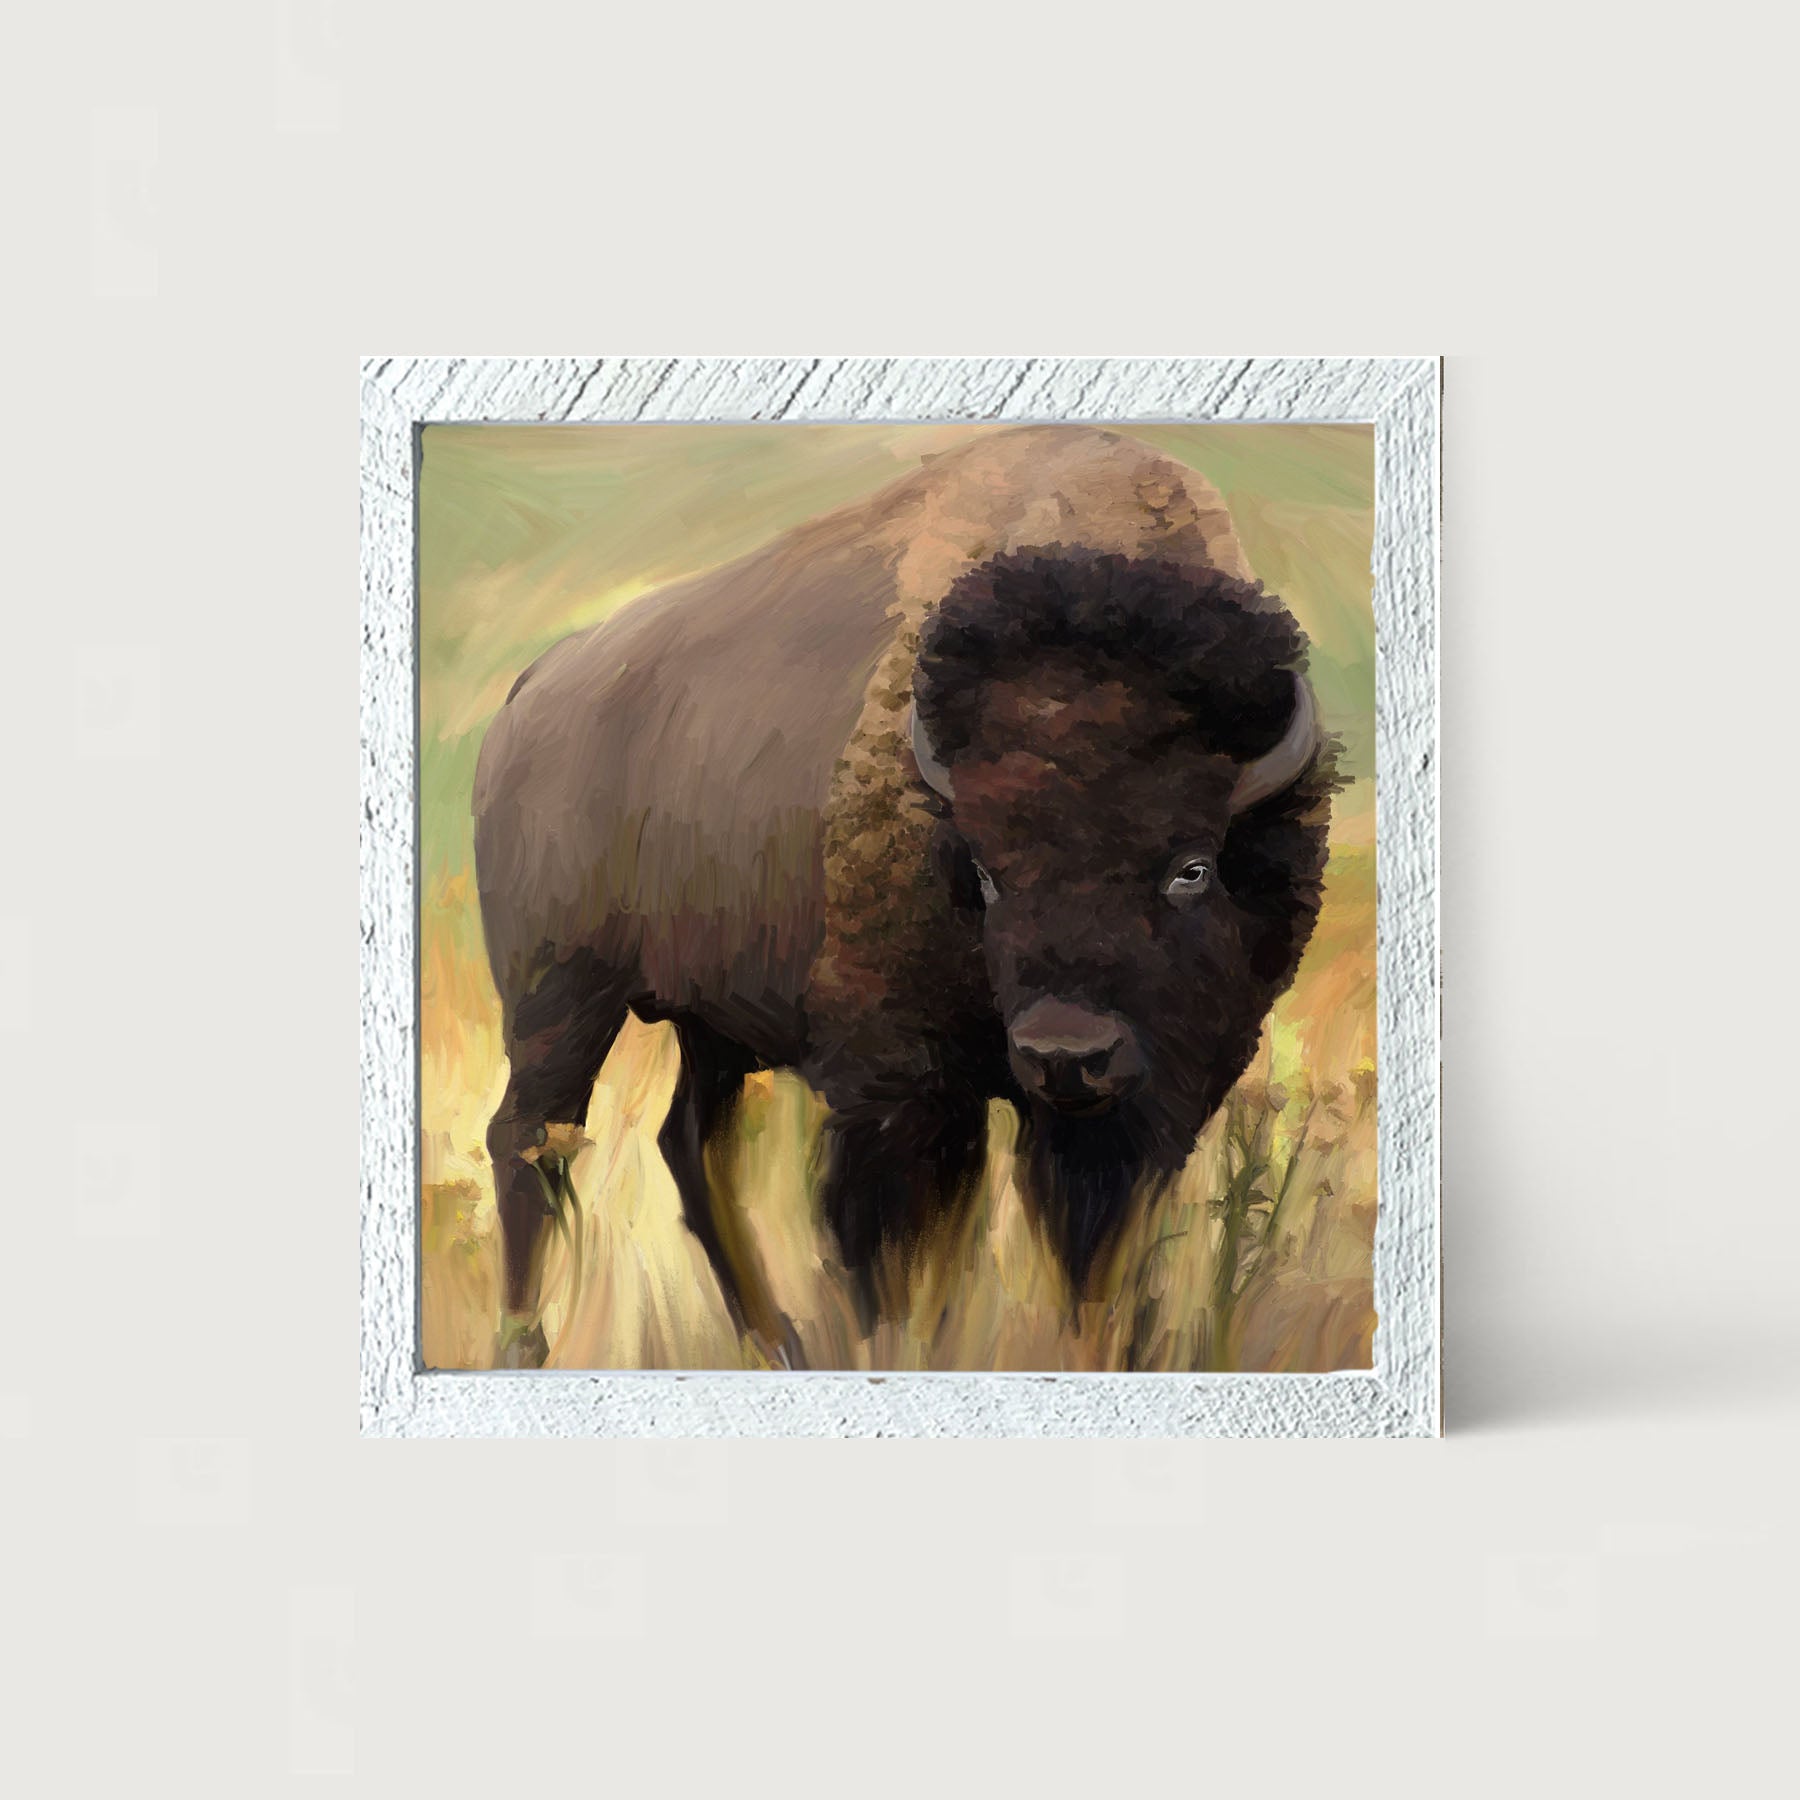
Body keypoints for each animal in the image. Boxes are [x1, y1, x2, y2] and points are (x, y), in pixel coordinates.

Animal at [472, 425, 1335, 1365]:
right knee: (530, 1143)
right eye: (987, 872)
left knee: (689, 1146)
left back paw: (775, 1342)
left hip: (711, 1025)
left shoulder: (1134, 1110)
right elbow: (892, 1255)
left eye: (1191, 867)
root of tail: (532, 691)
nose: (1065, 1053)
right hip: (558, 998)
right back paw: (525, 1343)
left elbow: (1089, 1258)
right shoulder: (899, 1092)